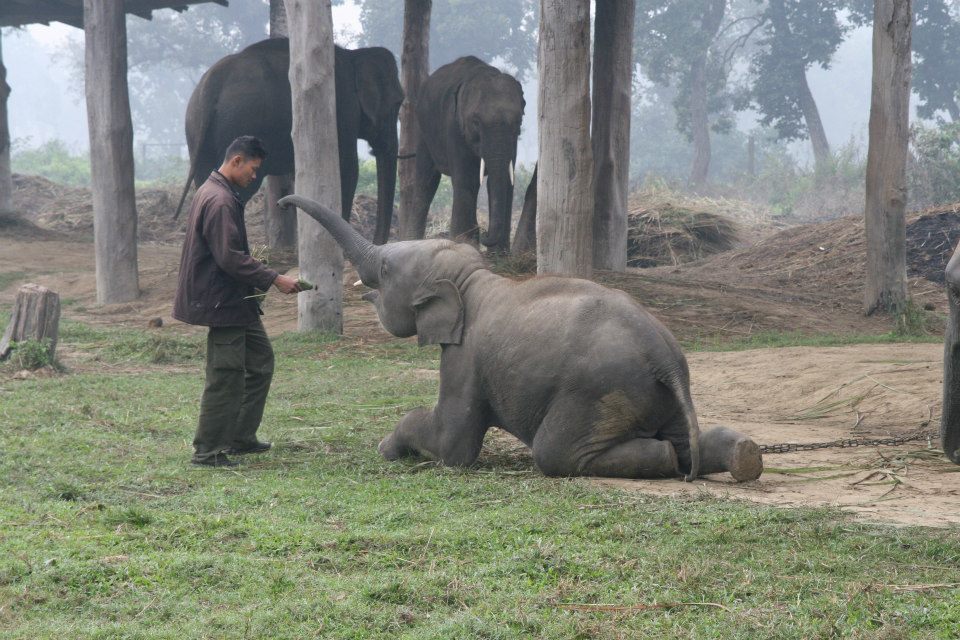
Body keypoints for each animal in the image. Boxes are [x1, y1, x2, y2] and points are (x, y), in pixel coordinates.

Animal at [174, 38, 404, 245]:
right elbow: (347, 168)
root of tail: (211, 85)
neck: (354, 56)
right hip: (240, 121)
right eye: (398, 102)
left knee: (205, 179)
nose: (379, 243)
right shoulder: (343, 112)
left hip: (197, 130)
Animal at [280, 192, 764, 482]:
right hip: (655, 394)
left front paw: (387, 448)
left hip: (597, 393)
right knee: (685, 443)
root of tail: (666, 358)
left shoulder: (464, 358)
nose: (285, 201)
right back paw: (743, 455)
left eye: (384, 268)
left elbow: (454, 445)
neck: (471, 279)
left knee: (557, 453)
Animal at [404, 56, 524, 254]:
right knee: (426, 181)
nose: (484, 233)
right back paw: (411, 240)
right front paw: (464, 242)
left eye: (519, 121)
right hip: (423, 131)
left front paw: (499, 254)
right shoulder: (453, 126)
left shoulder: (513, 140)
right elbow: (467, 179)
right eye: (476, 122)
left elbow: (505, 178)